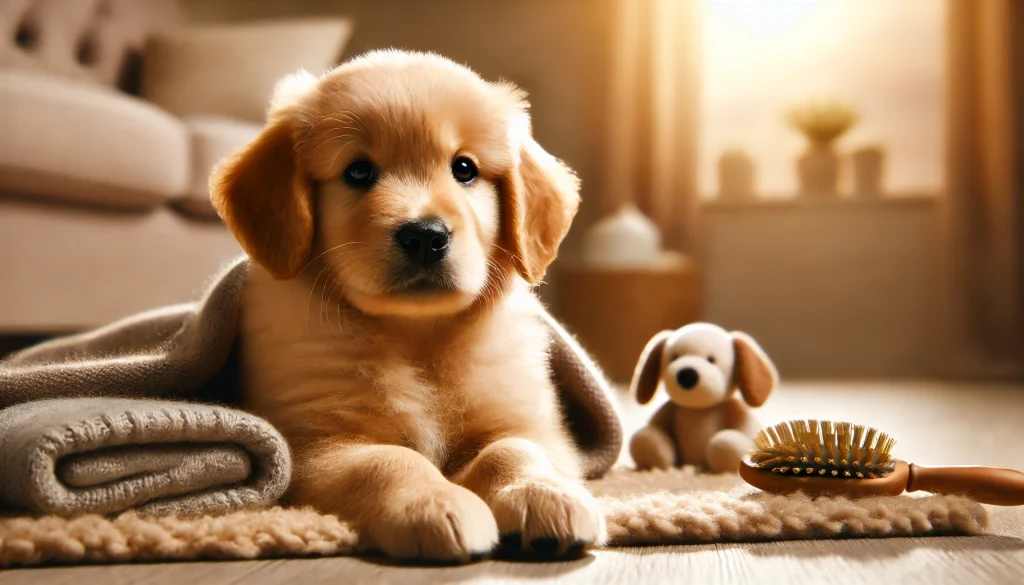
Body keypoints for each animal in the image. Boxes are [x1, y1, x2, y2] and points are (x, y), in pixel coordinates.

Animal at [210, 52, 602, 565]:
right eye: (358, 172)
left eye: (464, 168)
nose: (425, 236)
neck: (417, 338)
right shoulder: (313, 447)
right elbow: (388, 460)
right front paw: (434, 502)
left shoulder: (534, 422)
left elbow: (514, 449)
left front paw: (542, 494)